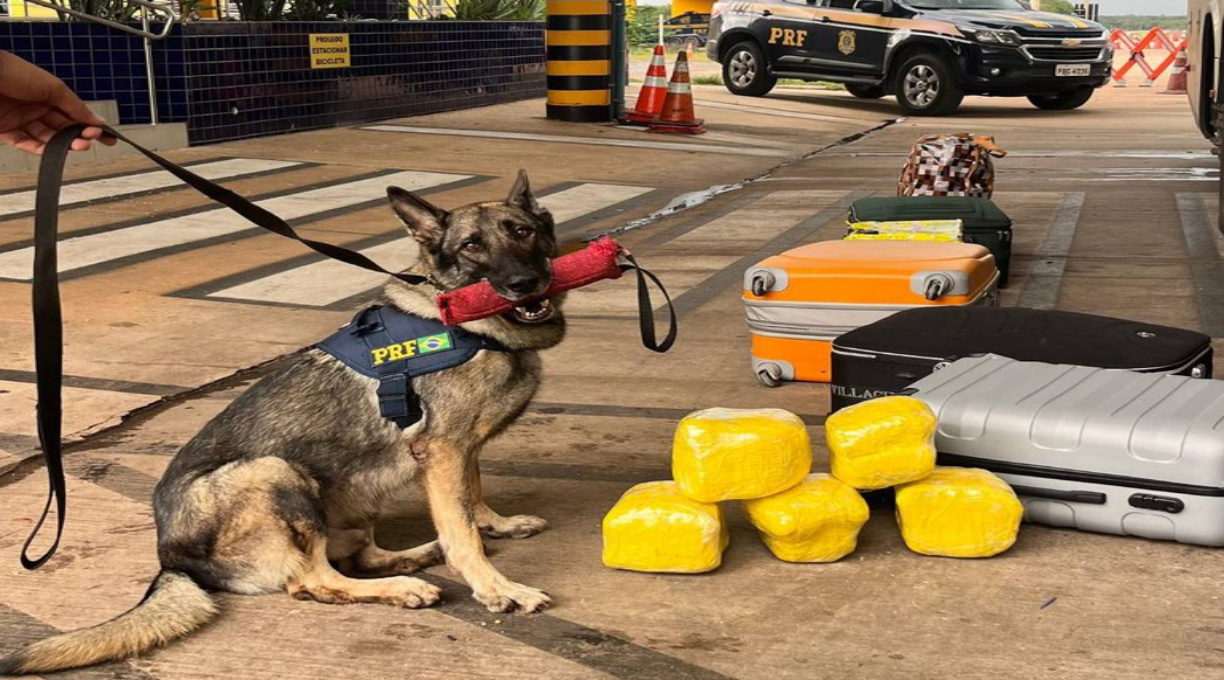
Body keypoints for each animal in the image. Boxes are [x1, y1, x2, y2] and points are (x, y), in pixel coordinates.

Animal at [0, 171, 563, 675]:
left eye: (522, 232)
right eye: (471, 245)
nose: (524, 283)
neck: (464, 322)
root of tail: (171, 558)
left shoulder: (460, 450)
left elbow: (471, 502)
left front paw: (496, 525)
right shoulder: (443, 450)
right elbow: (460, 530)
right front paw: (497, 587)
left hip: (353, 495)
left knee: (355, 557)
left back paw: (416, 558)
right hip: (275, 472)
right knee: (315, 581)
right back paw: (404, 585)